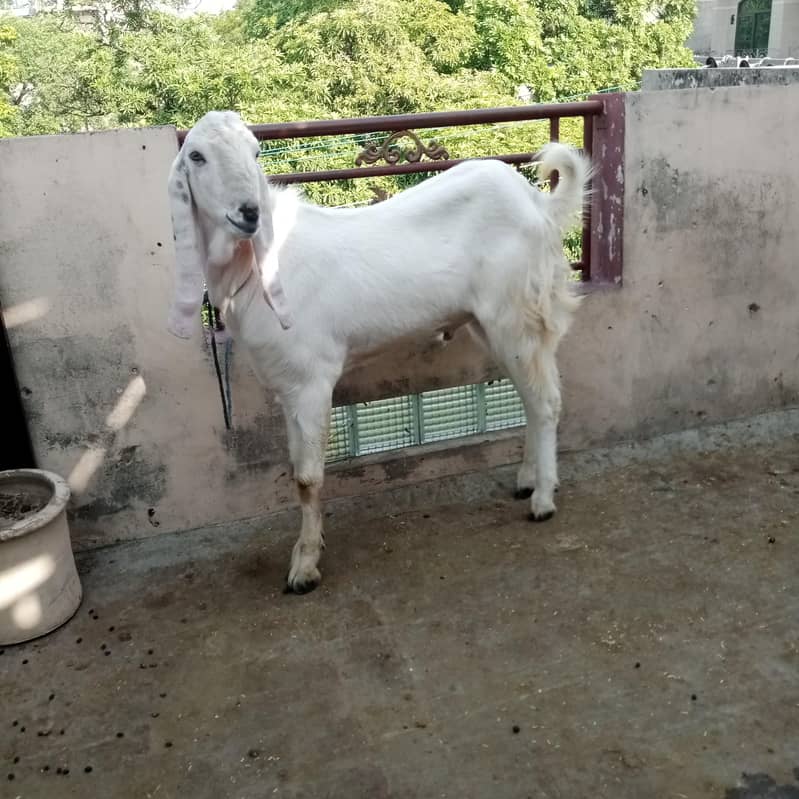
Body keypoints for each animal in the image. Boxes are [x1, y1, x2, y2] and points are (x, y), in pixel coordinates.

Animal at [167, 110, 590, 594]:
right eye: (197, 156)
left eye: (255, 153)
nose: (248, 213)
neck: (259, 267)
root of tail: (539, 206)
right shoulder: (288, 385)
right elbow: (296, 468)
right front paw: (309, 546)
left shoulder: (312, 380)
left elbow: (307, 478)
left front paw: (305, 567)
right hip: (496, 323)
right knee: (533, 398)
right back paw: (526, 481)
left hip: (515, 313)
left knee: (546, 402)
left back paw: (542, 499)